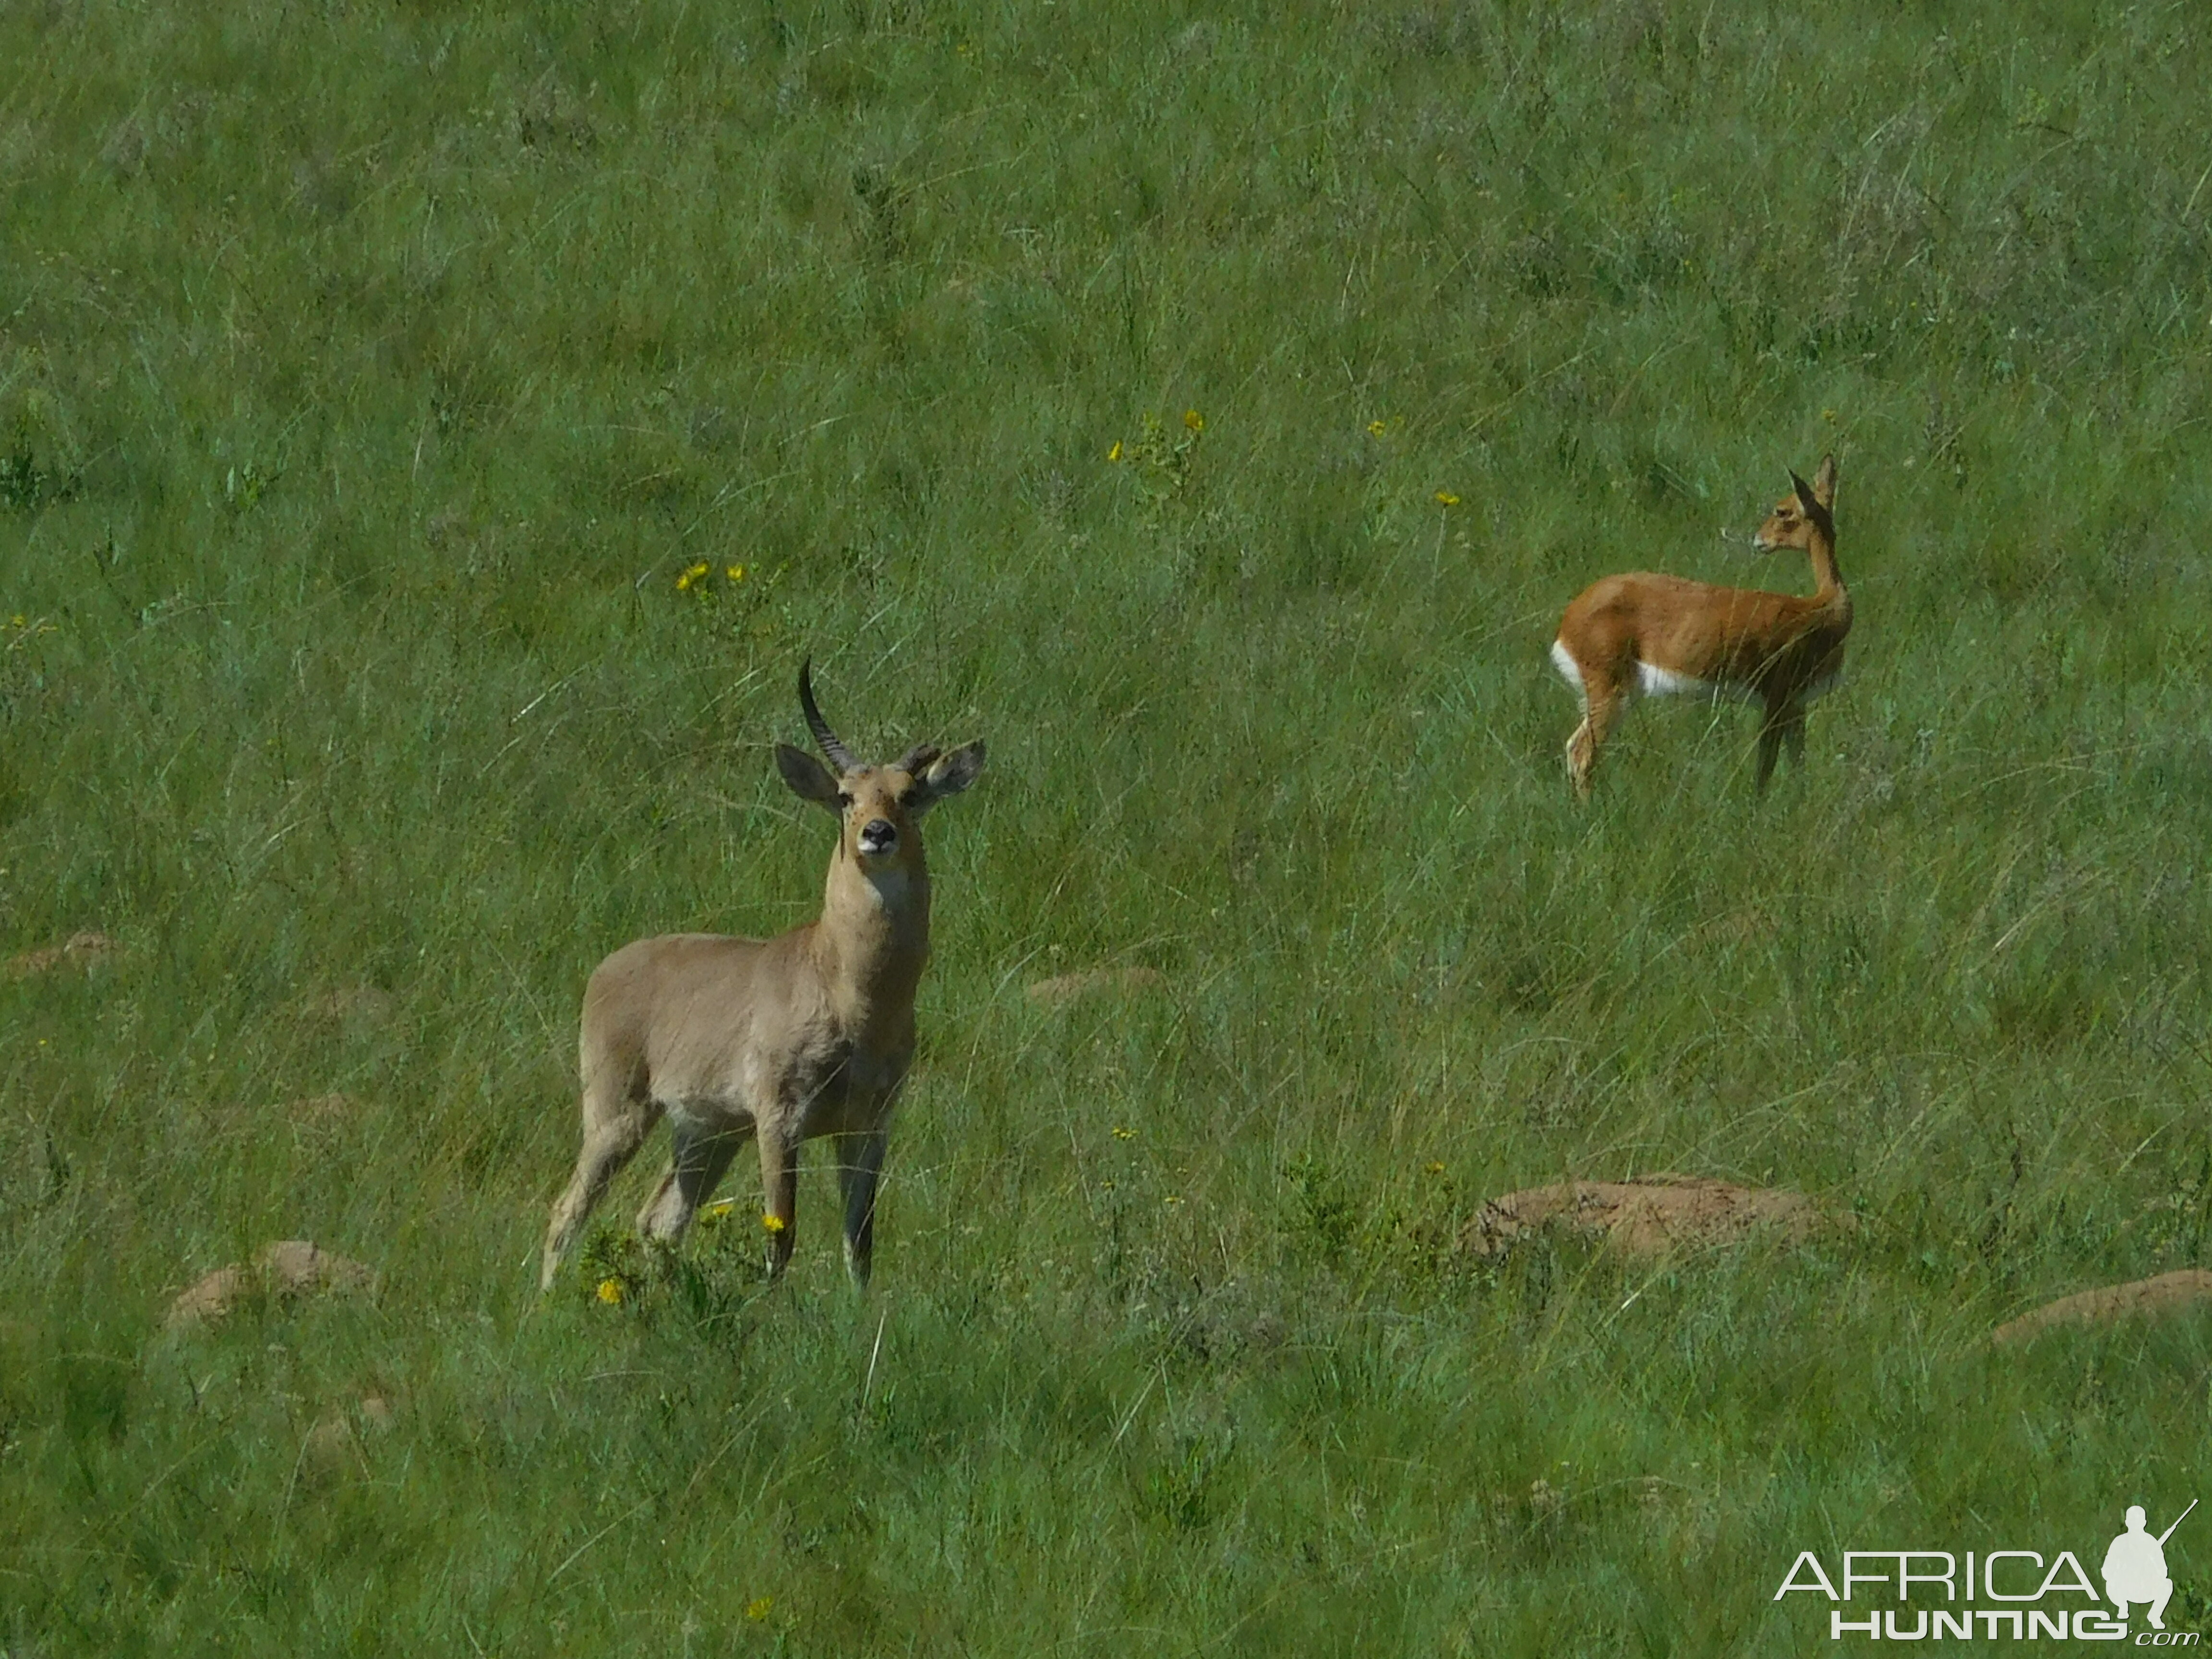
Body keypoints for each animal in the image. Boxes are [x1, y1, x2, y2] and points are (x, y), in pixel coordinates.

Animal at [535, 659, 986, 1283]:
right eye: (845, 795)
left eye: (911, 793)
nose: (877, 833)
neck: (851, 997)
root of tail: (609, 966)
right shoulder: (779, 1117)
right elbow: (782, 1236)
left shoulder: (869, 1125)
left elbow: (861, 1242)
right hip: (617, 1113)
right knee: (567, 1212)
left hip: (708, 1131)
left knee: (660, 1219)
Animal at [1557, 451, 1849, 796]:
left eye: (1782, 510)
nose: (1759, 540)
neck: (1824, 610)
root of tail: (1566, 624)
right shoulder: (1777, 697)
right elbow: (1765, 767)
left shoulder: (1796, 705)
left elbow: (1796, 766)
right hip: (1609, 686)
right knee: (1583, 753)